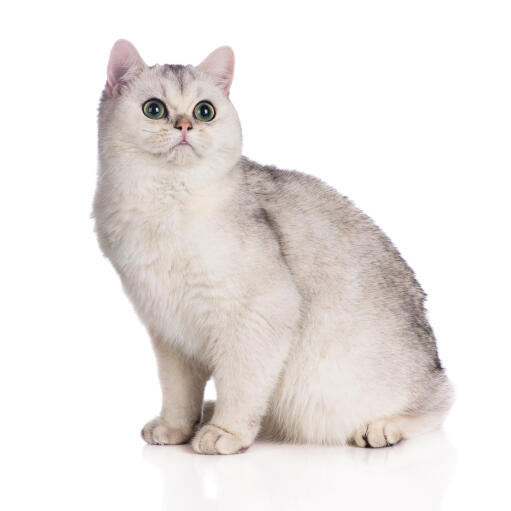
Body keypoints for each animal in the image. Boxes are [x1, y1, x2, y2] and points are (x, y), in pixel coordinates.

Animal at [94, 41, 454, 456]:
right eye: (154, 109)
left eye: (204, 111)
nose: (184, 126)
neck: (163, 207)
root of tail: (433, 362)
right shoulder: (168, 331)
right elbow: (177, 393)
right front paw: (175, 428)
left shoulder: (259, 314)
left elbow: (240, 385)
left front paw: (227, 433)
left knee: (441, 402)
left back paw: (384, 427)